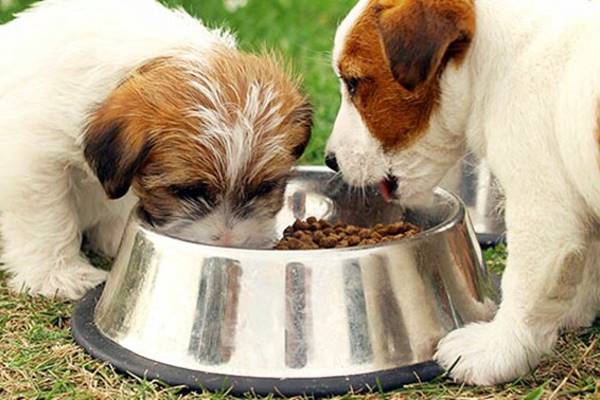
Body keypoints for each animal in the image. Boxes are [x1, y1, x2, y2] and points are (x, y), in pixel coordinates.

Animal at [0, 0, 312, 300]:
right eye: (187, 191)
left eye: (265, 188)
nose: (230, 243)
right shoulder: (34, 165)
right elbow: (48, 221)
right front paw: (61, 276)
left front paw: (116, 239)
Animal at [326, 0, 600, 388]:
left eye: (353, 83)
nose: (329, 160)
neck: (493, 57)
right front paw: (572, 309)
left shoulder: (541, 209)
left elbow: (524, 286)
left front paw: (496, 349)